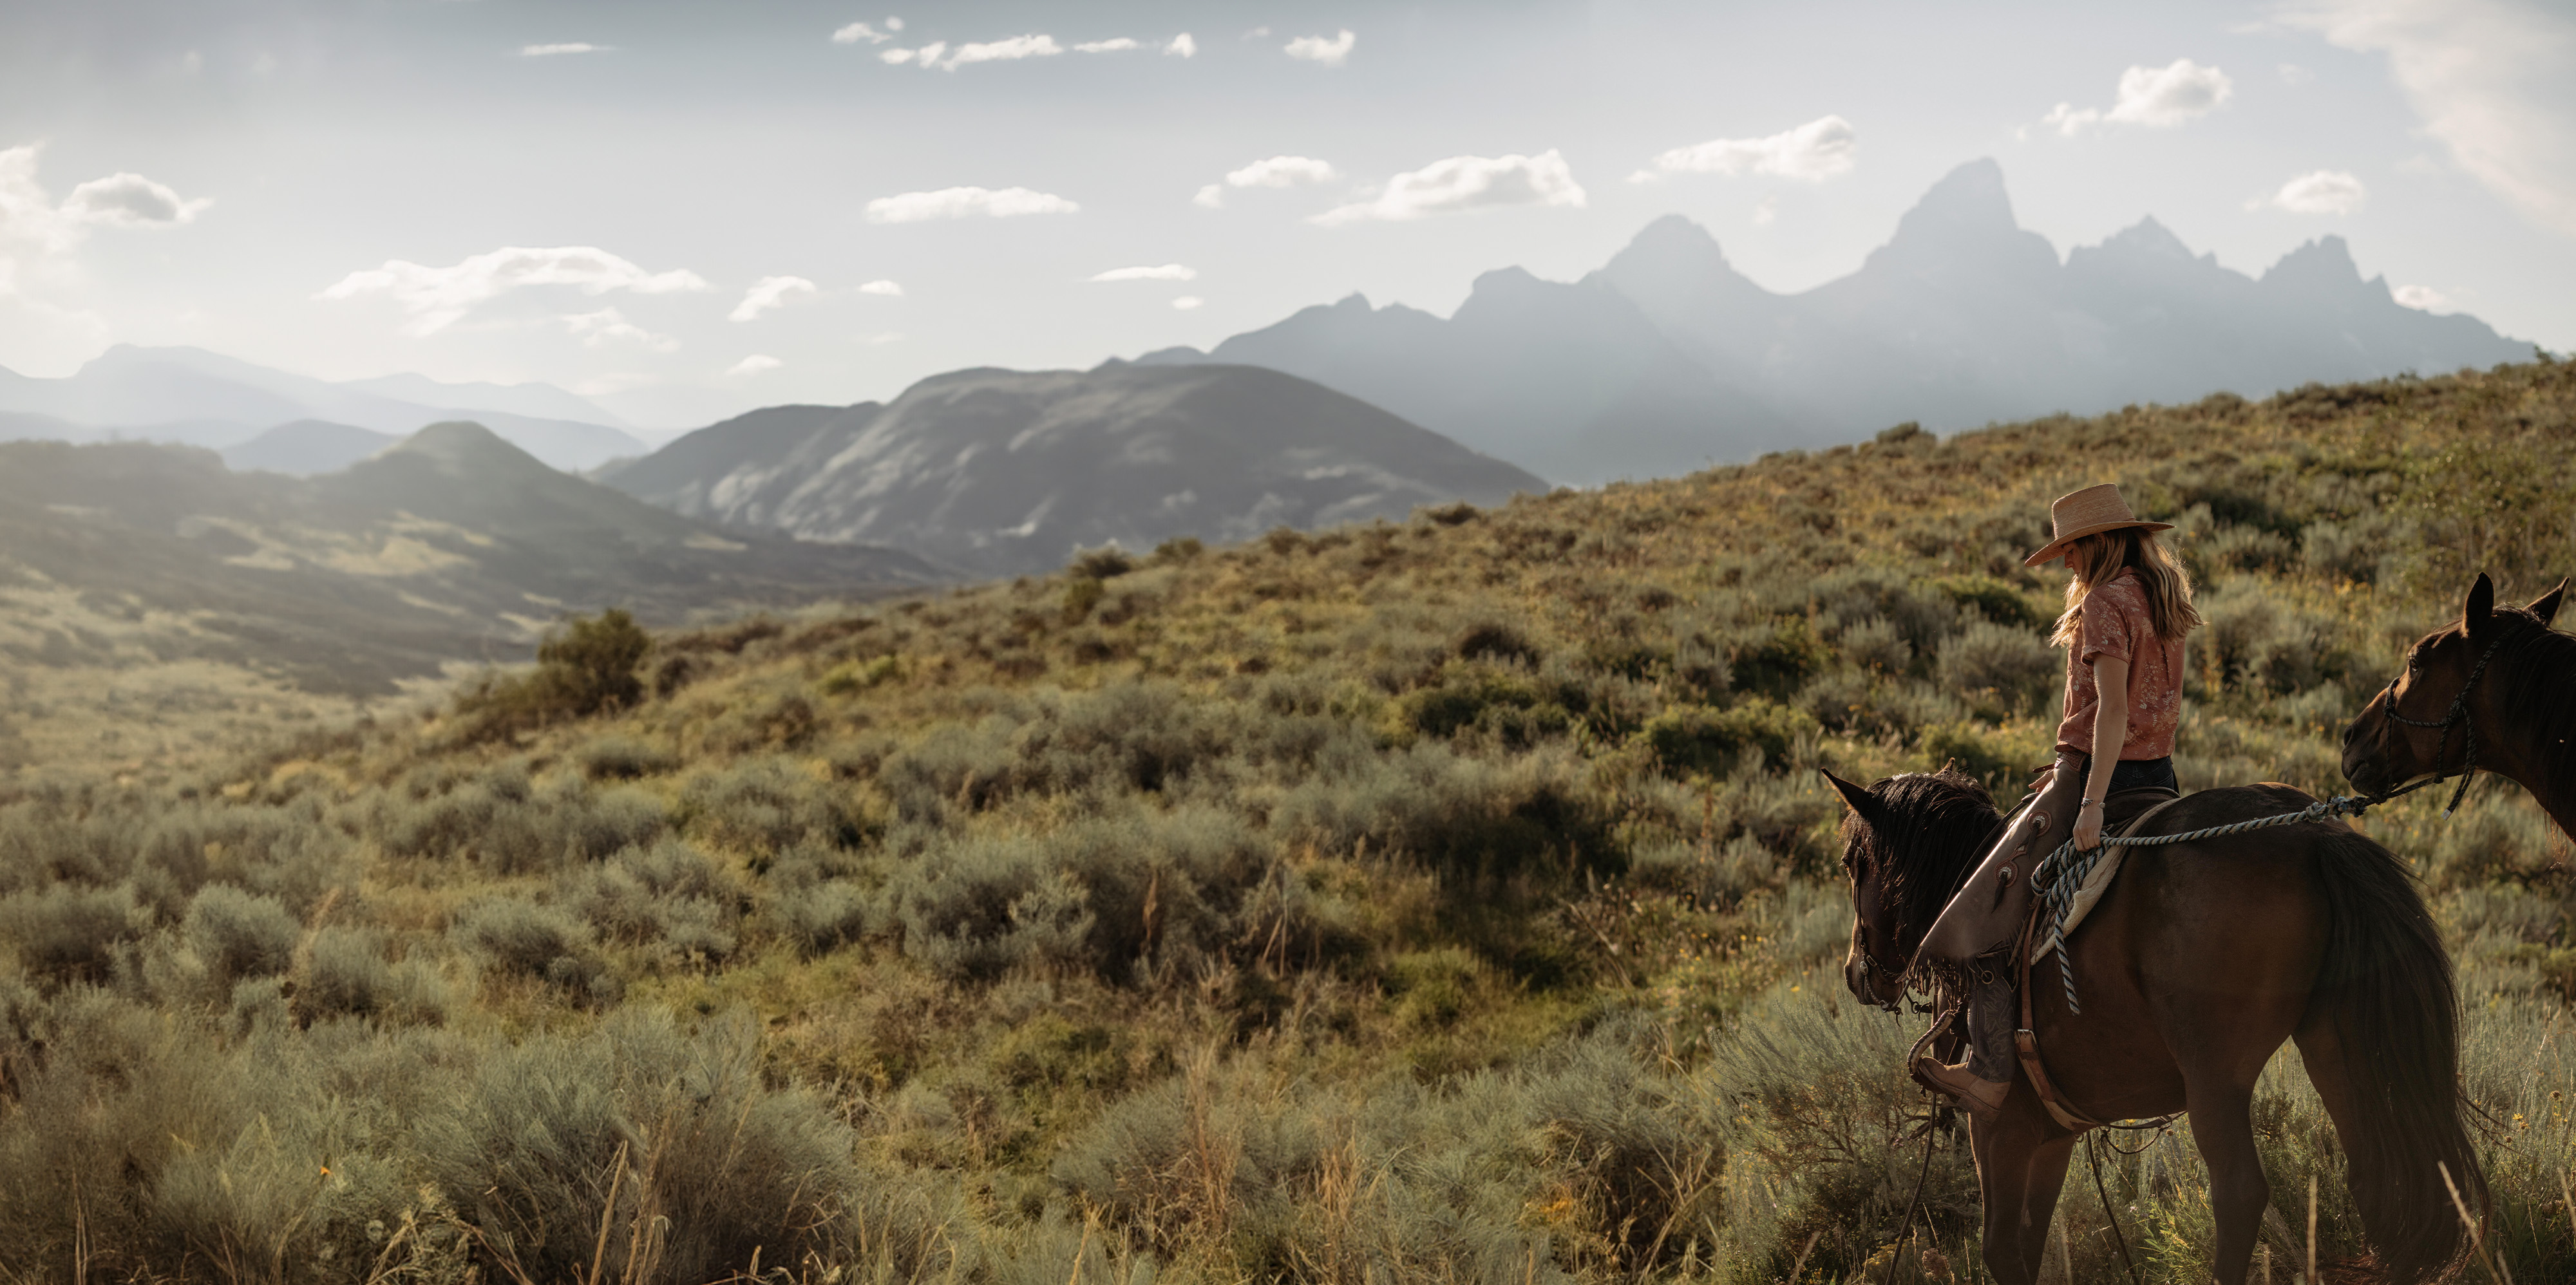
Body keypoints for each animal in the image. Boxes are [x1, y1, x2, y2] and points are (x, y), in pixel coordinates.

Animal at [1824, 767, 2483, 1282]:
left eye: (1854, 863)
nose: (1856, 972)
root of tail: (2313, 835)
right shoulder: (2054, 1136)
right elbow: (2032, 1244)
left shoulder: (1998, 1128)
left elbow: (2003, 1252)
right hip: (2334, 1047)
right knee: (2378, 1180)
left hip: (2215, 1078)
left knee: (2240, 1194)